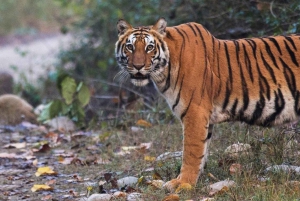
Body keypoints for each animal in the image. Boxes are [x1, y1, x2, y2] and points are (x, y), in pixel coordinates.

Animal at [114, 17, 300, 192]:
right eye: (130, 47)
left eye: (149, 47)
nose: (138, 66)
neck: (165, 70)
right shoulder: (204, 117)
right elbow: (202, 151)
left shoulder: (195, 111)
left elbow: (191, 151)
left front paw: (183, 183)